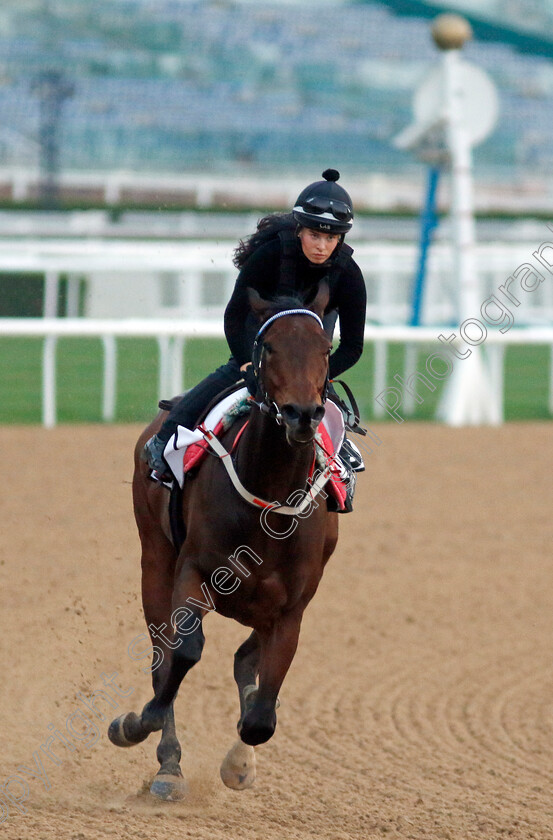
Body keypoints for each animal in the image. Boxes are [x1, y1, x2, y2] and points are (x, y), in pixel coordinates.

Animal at [108, 284, 338, 800]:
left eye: (324, 348)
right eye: (268, 346)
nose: (302, 414)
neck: (269, 499)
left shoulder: (291, 608)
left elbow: (262, 718)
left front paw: (240, 761)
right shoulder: (194, 572)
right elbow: (183, 653)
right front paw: (139, 724)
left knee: (243, 659)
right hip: (154, 559)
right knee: (163, 652)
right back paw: (168, 764)